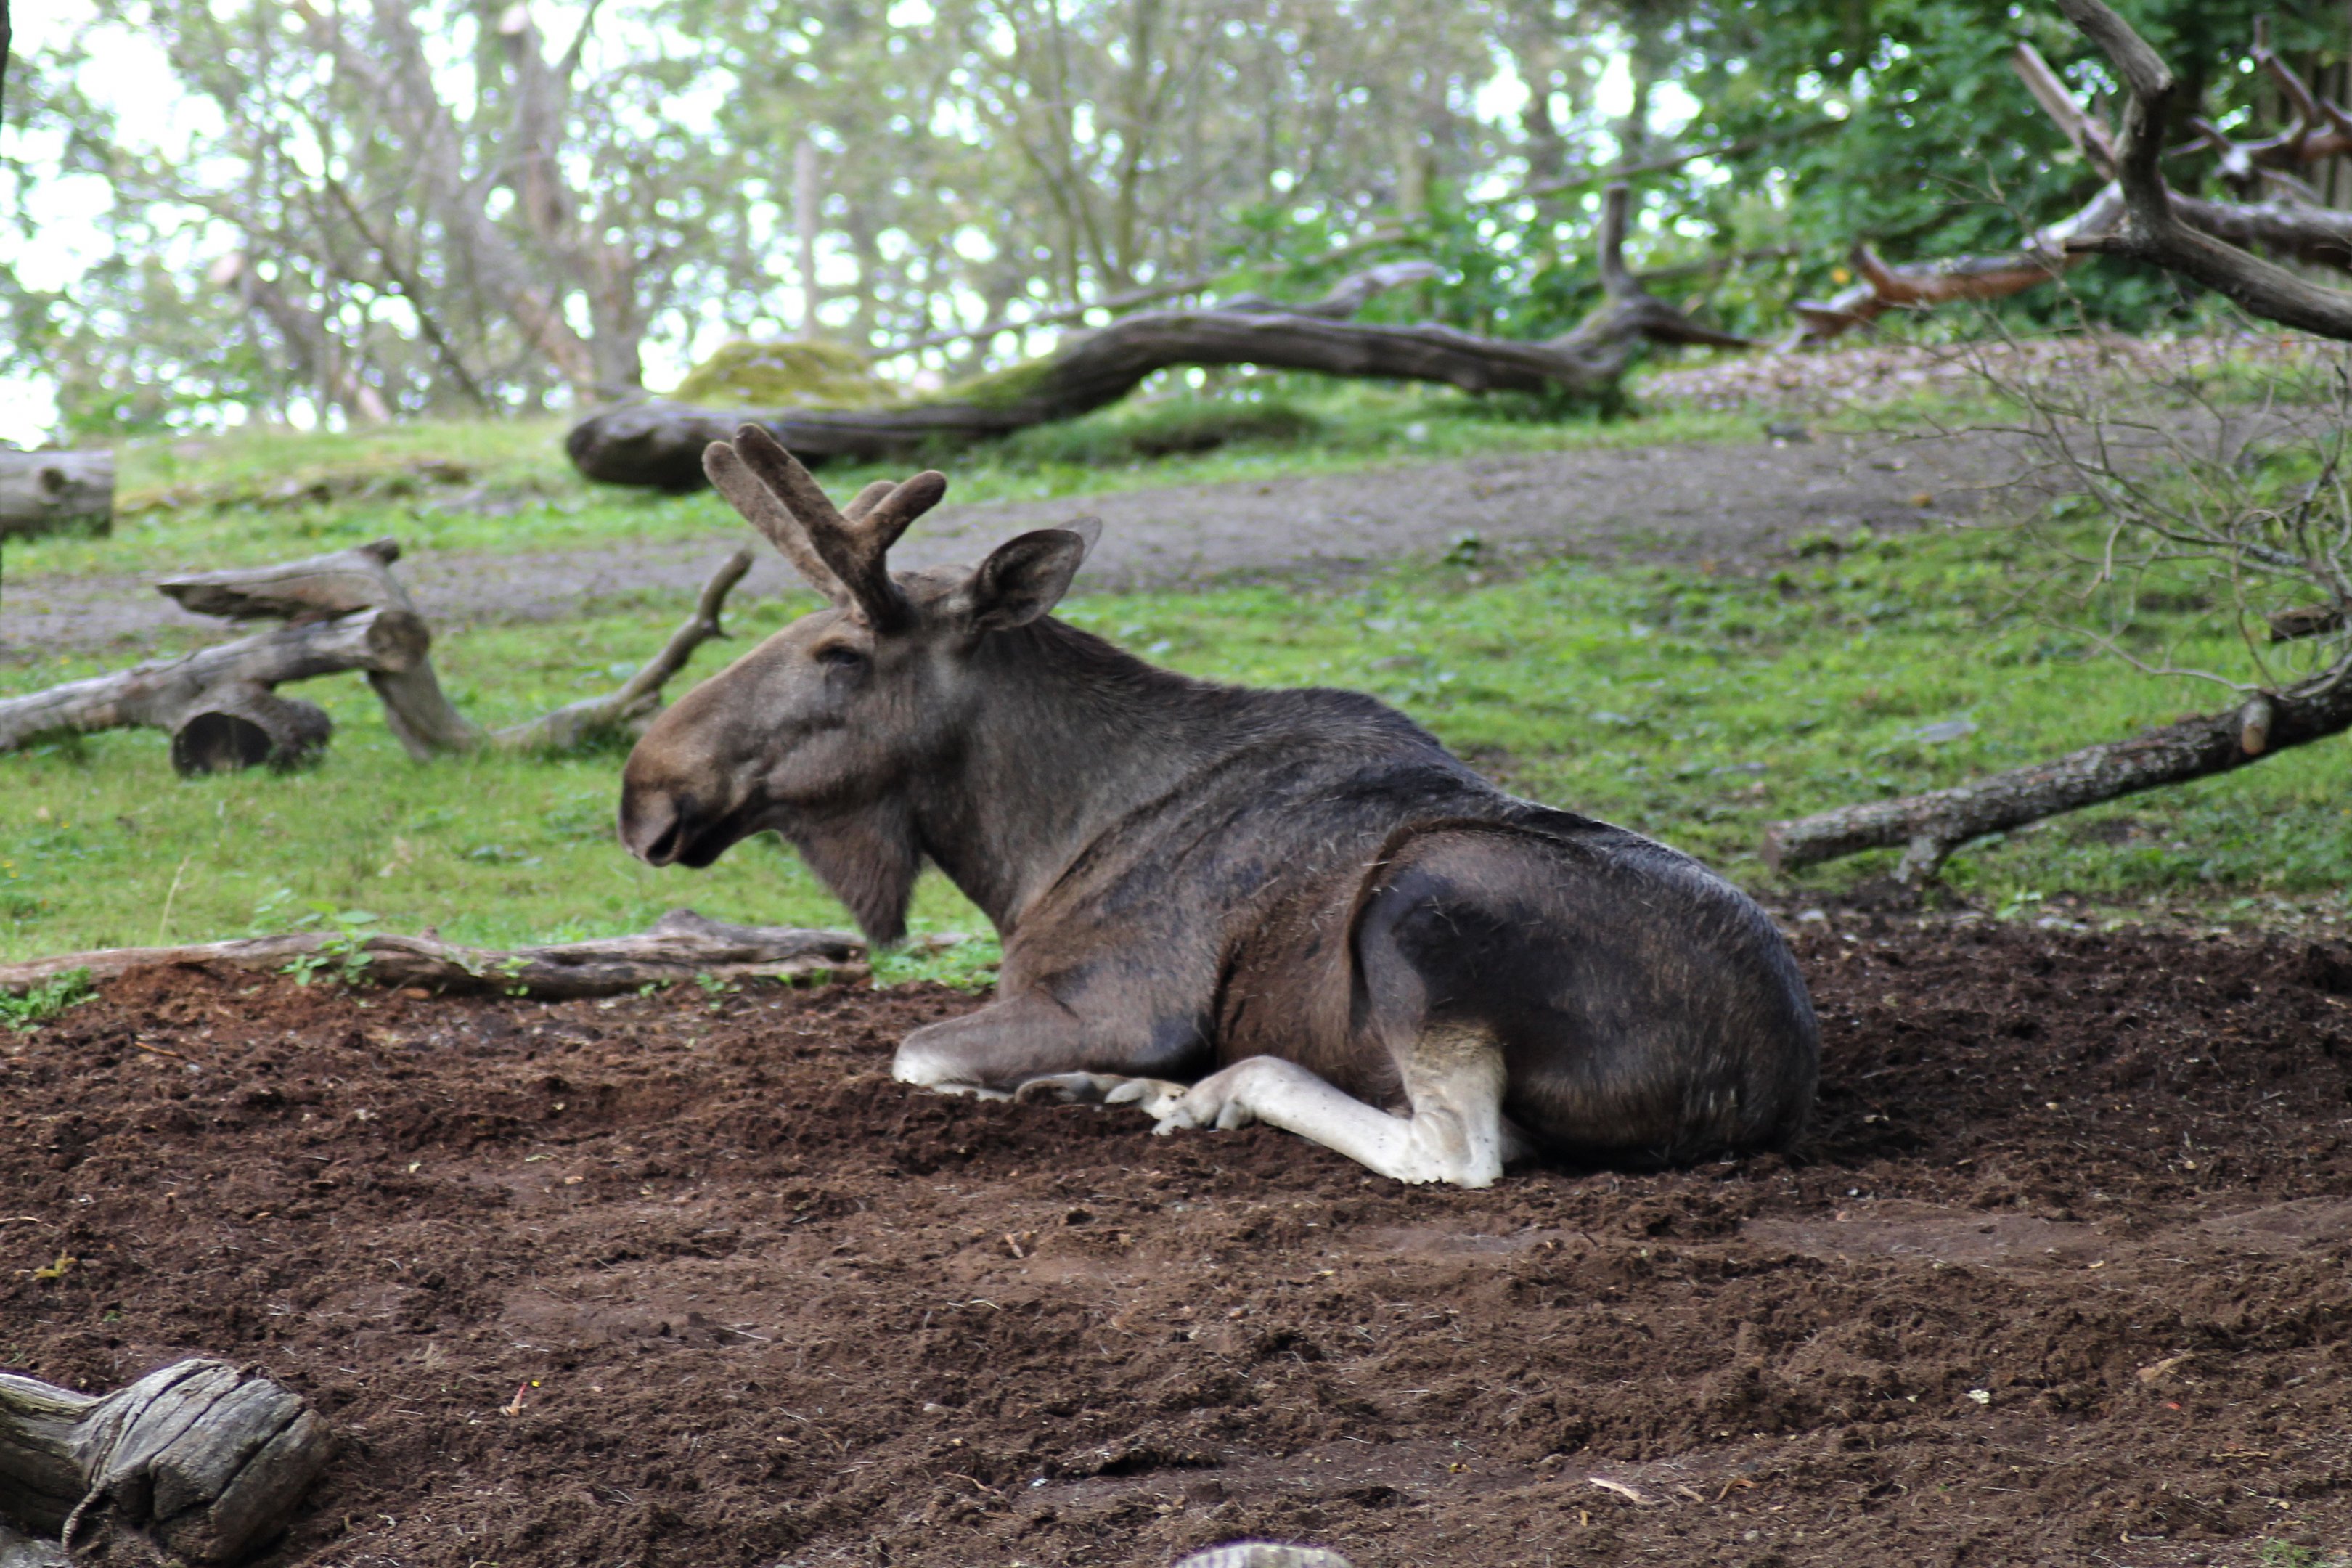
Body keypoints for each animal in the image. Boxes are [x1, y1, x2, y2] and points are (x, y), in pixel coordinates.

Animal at [620, 426, 1820, 1188]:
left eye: (838, 653)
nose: (643, 793)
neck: (1022, 855)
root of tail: (1769, 1092)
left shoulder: (1125, 1001)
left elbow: (915, 1053)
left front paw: (1047, 1087)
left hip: (1422, 900)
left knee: (1460, 1152)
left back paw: (1213, 1090)